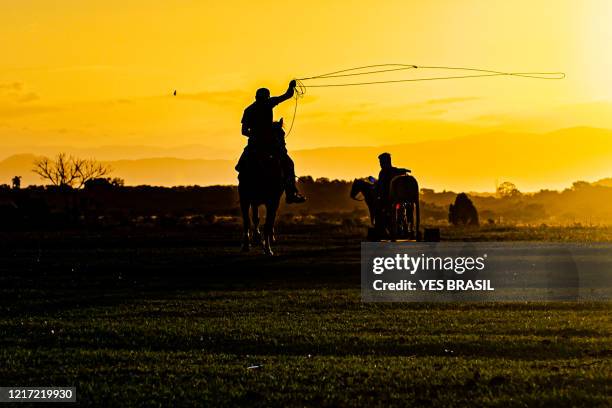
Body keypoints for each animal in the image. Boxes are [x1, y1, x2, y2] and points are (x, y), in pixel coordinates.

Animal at [239, 120, 286, 255]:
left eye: (283, 133)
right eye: (271, 134)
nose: (282, 151)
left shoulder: (272, 200)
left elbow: (268, 222)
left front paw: (268, 249)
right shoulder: (245, 198)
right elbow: (247, 221)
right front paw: (246, 245)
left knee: (270, 219)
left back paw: (270, 238)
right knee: (256, 218)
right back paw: (257, 237)